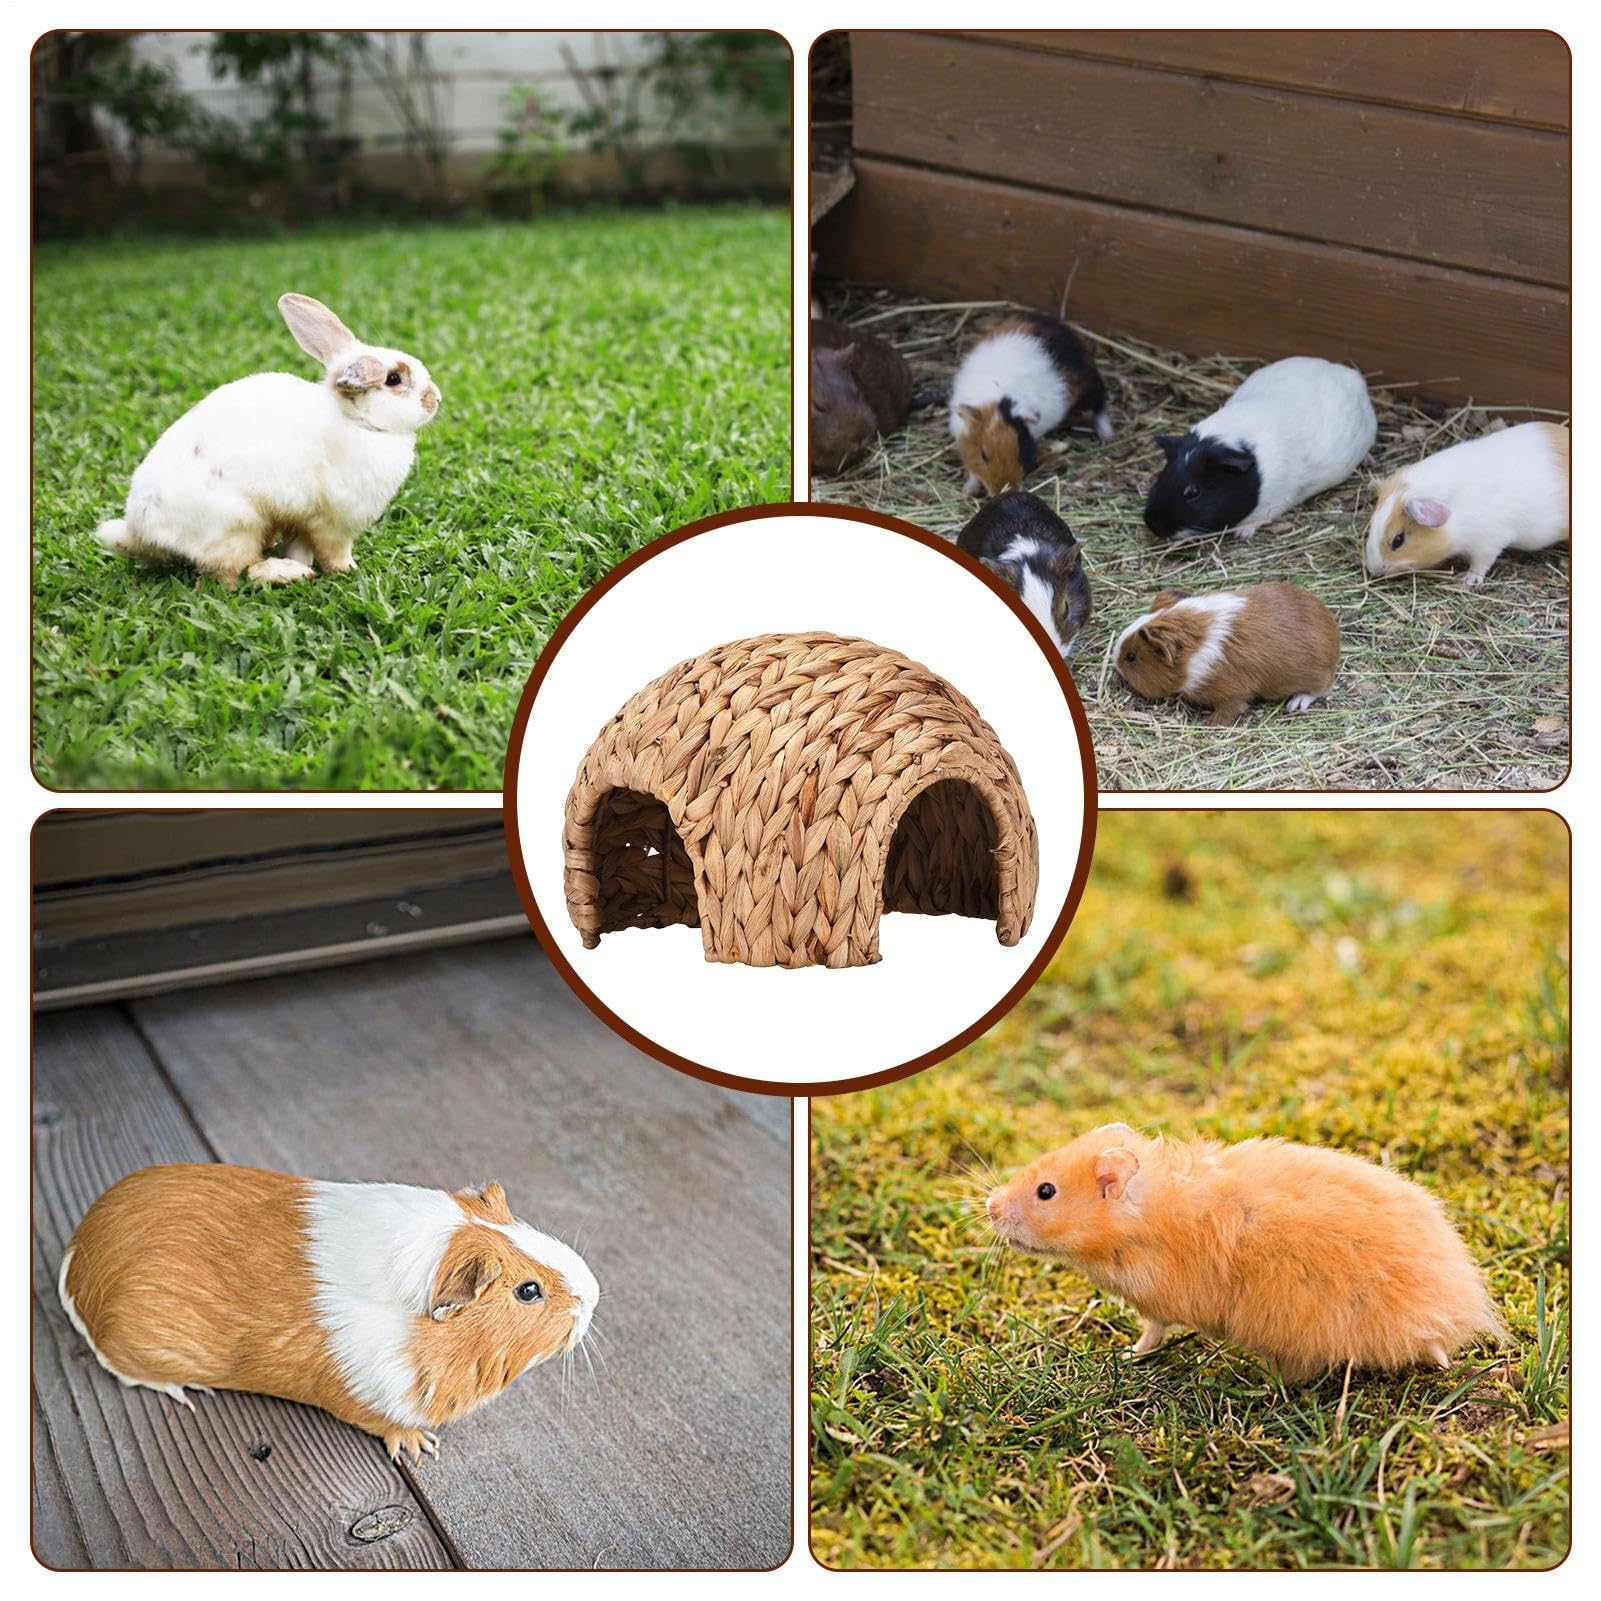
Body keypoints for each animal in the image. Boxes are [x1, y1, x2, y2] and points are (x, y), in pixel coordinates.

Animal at [58, 1163, 599, 1463]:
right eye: (528, 1291)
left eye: (523, 1226)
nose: (592, 1295)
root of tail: (76, 1262)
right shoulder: (361, 1387)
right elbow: (381, 1420)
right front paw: (420, 1447)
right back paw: (190, 1392)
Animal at [94, 293, 440, 588]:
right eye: (393, 379)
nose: (434, 399)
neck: (356, 421)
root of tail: (139, 530)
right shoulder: (334, 522)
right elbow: (334, 552)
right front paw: (349, 570)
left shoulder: (301, 519)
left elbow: (299, 544)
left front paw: (305, 561)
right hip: (236, 527)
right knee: (236, 574)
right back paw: (288, 574)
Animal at [950, 310, 1112, 498]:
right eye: (983, 455)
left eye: (1021, 452)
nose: (1005, 491)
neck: (995, 397)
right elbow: (972, 471)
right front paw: (968, 490)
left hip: (1088, 388)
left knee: (1101, 404)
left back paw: (1107, 436)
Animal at [986, 1123, 1505, 1383]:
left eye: (1046, 1191)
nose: (990, 1207)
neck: (1139, 1221)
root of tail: (1459, 1315)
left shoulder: (1158, 1300)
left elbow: (1152, 1331)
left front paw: (1126, 1356)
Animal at [1115, 582, 1340, 726]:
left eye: (1131, 656)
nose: (1115, 663)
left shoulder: (1233, 693)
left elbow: (1230, 709)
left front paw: (1210, 723)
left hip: (1315, 678)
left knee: (1321, 689)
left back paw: (1294, 705)